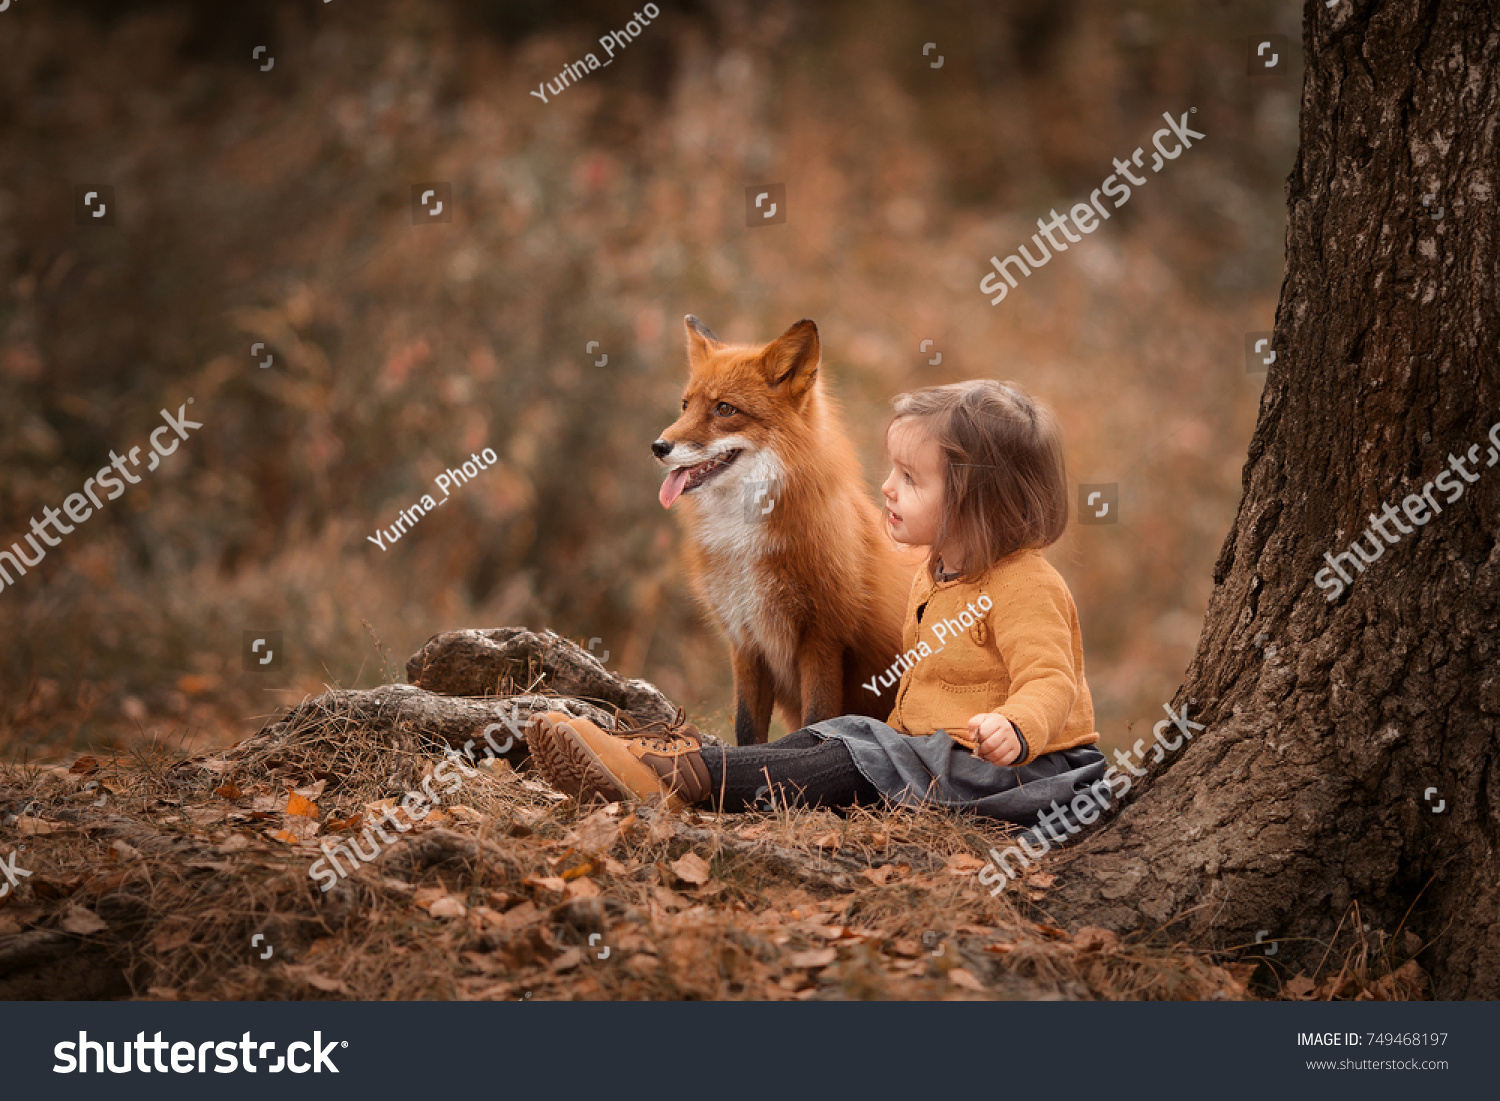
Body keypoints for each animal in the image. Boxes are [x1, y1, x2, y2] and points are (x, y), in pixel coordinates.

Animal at [654, 319, 912, 750]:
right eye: (685, 406)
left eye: (724, 409)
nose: (658, 446)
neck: (744, 544)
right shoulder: (745, 639)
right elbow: (747, 728)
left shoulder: (823, 638)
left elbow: (817, 721)